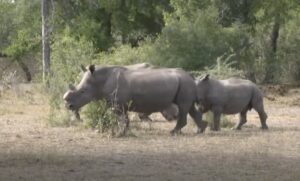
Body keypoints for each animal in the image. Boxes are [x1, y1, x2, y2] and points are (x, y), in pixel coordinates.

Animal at [63, 65, 207, 136]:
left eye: (83, 91)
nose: (69, 106)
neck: (99, 80)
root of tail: (191, 76)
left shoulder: (118, 104)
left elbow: (122, 119)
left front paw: (120, 134)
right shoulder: (118, 104)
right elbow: (123, 119)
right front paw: (123, 132)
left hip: (185, 83)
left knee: (183, 107)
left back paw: (173, 132)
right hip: (185, 83)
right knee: (190, 108)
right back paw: (200, 130)